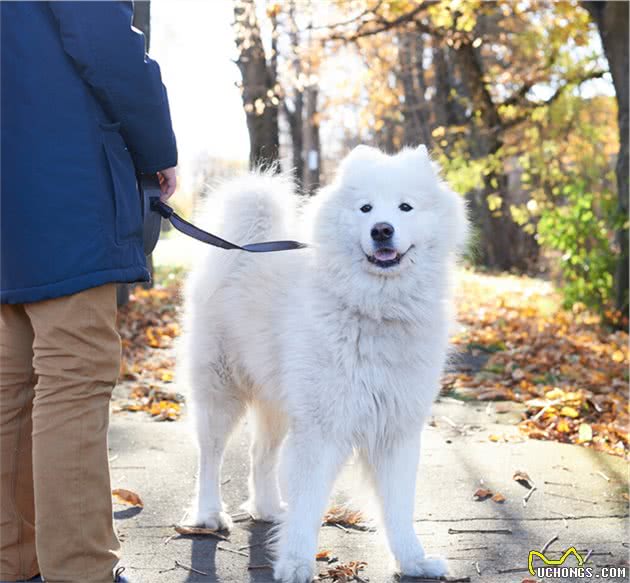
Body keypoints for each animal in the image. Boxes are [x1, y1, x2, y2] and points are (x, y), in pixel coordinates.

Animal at [178, 146, 470, 583]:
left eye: (405, 207)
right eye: (365, 208)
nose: (382, 230)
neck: (376, 310)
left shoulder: (396, 431)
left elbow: (399, 507)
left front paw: (413, 561)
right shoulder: (321, 430)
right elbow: (308, 504)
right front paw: (297, 562)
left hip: (278, 402)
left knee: (260, 454)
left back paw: (267, 508)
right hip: (221, 393)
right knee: (210, 457)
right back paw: (209, 515)